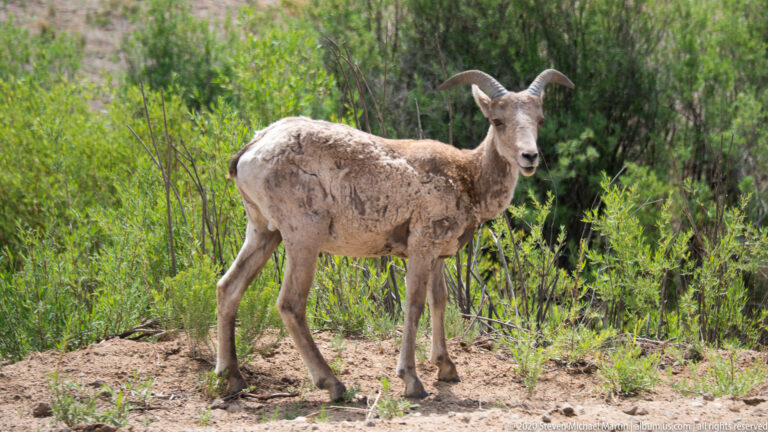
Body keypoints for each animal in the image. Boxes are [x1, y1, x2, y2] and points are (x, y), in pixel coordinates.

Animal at [215, 69, 574, 401]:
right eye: (497, 120)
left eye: (539, 119)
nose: (529, 157)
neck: (467, 177)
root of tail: (251, 151)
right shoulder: (420, 247)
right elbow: (414, 304)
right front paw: (412, 381)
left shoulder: (437, 255)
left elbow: (439, 300)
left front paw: (447, 368)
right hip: (302, 236)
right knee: (290, 303)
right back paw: (334, 385)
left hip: (263, 231)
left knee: (228, 287)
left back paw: (232, 377)